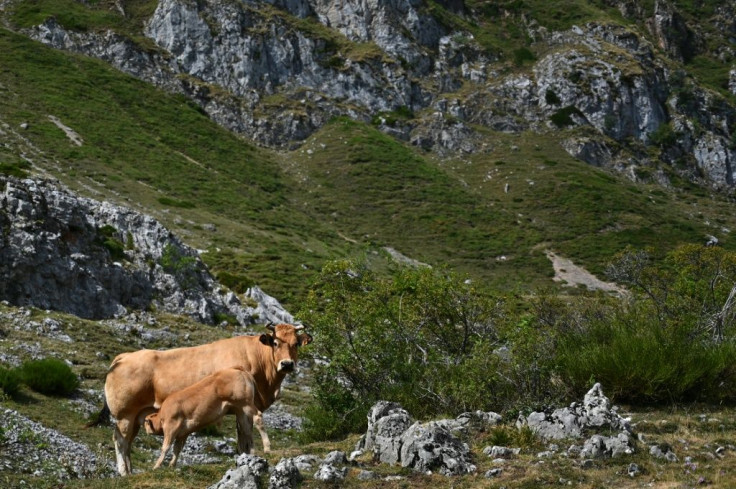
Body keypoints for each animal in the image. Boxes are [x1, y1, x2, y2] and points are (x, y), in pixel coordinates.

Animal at [92, 322, 310, 474]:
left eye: (296, 344)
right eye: (276, 343)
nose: (287, 364)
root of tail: (124, 356)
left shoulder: (243, 408)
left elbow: (244, 436)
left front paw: (246, 457)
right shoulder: (244, 406)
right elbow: (244, 435)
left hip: (137, 416)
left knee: (128, 442)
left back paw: (130, 472)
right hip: (125, 415)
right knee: (120, 441)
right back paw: (123, 472)